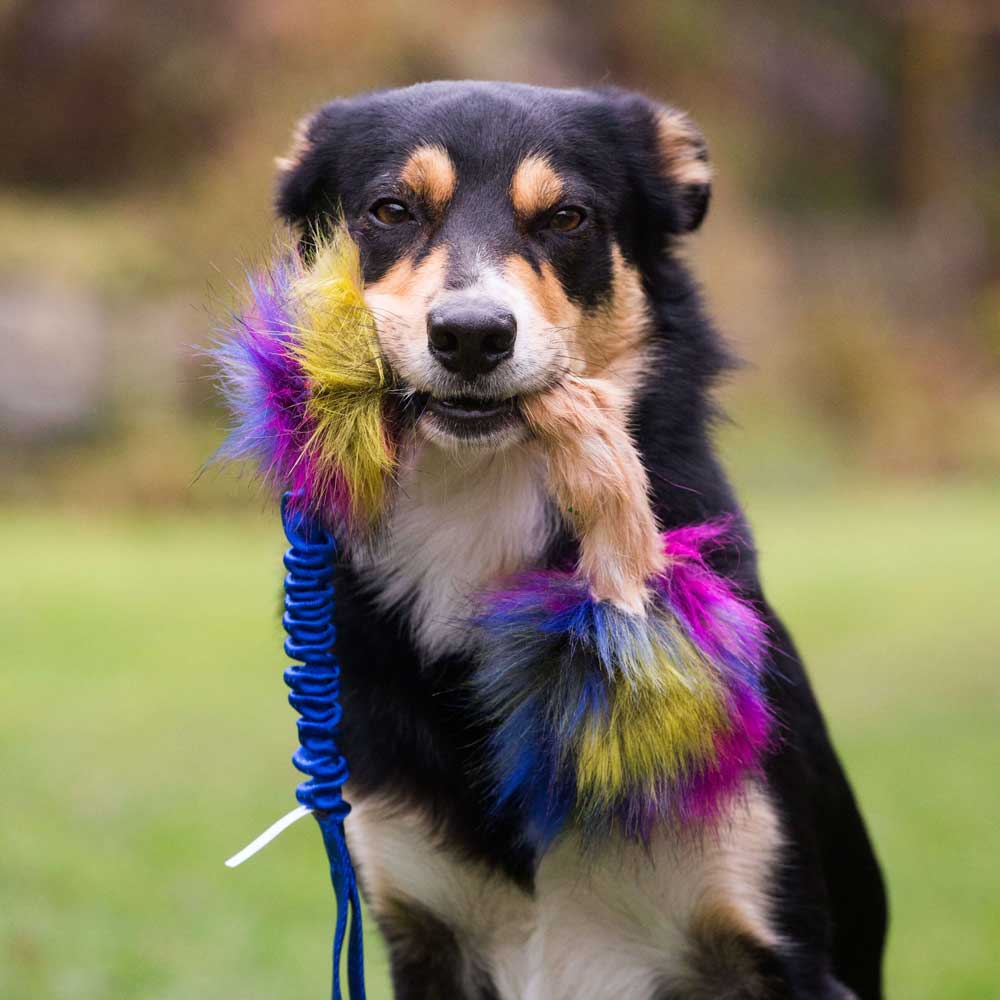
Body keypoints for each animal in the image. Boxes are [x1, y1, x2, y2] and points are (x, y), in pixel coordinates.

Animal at [272, 84, 884, 1000]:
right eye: (390, 210)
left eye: (567, 217)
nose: (472, 335)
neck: (480, 513)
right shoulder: (425, 934)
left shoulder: (780, 947)